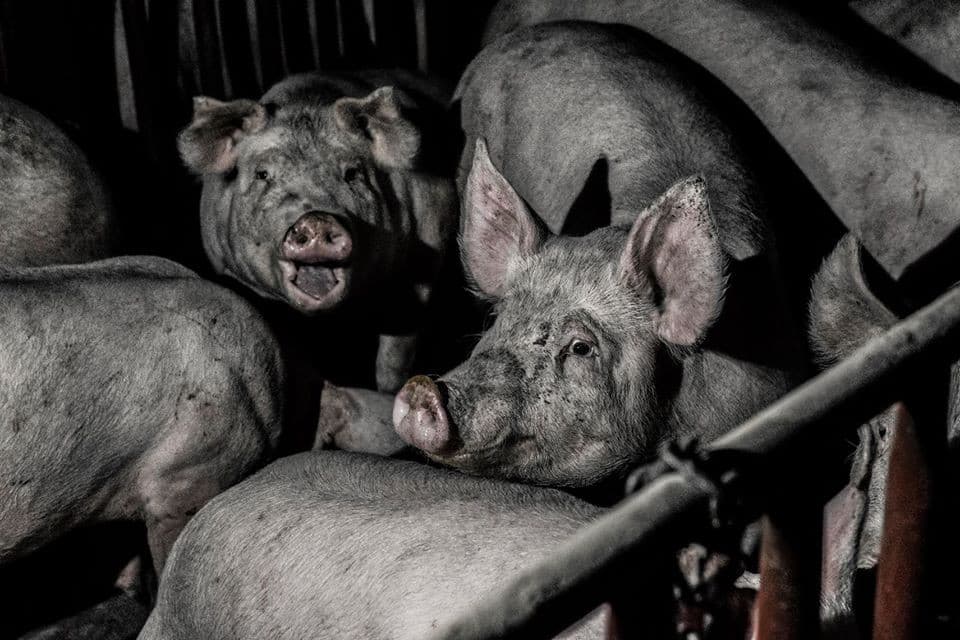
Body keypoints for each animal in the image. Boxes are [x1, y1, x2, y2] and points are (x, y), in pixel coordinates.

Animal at [177, 71, 459, 392]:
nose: (316, 219)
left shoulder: (419, 269)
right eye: (263, 174)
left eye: (352, 174)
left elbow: (395, 356)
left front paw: (388, 392)